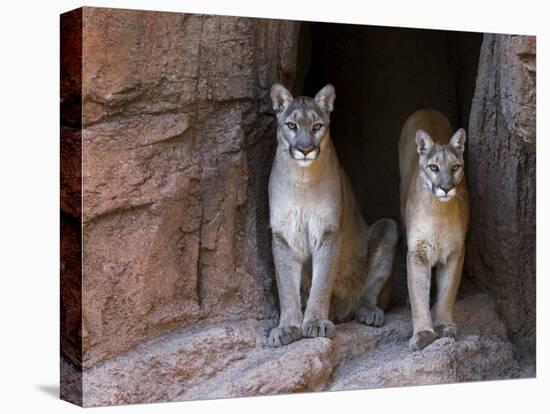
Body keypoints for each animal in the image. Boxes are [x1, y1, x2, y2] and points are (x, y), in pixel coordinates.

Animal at [270, 83, 398, 346]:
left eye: (317, 126)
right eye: (291, 125)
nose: (305, 149)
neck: (302, 179)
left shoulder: (328, 232)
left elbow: (322, 281)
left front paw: (316, 322)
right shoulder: (283, 235)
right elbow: (286, 288)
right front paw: (287, 327)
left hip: (388, 228)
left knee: (370, 295)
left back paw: (368, 312)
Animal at [398, 108, 472, 350]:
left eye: (455, 167)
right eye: (433, 167)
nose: (446, 188)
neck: (439, 211)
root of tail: (426, 109)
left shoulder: (456, 251)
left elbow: (448, 291)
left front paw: (443, 325)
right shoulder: (417, 251)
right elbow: (418, 293)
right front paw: (423, 333)